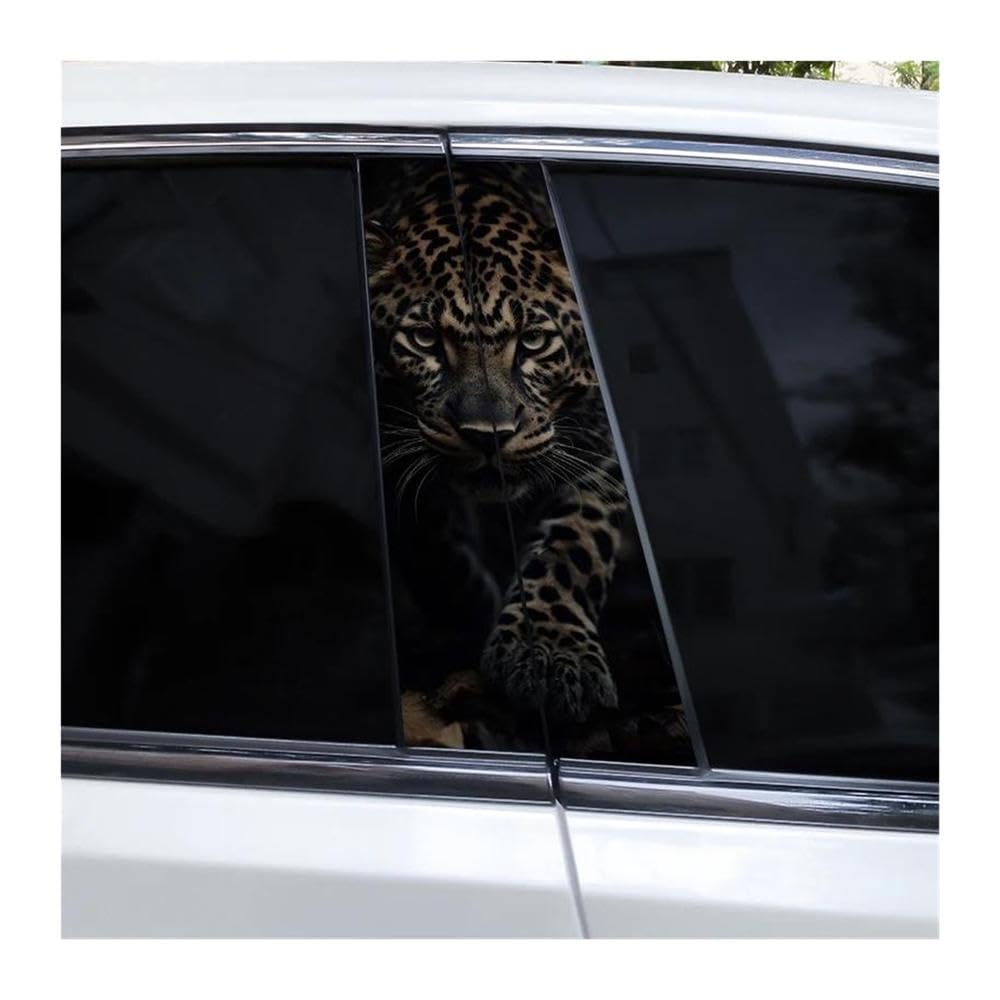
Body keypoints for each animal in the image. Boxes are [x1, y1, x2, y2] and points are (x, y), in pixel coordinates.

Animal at [364, 160, 627, 727]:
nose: (489, 436)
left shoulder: (598, 450)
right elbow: (432, 541)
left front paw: (552, 654)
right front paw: (477, 609)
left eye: (533, 342)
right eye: (424, 339)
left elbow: (574, 545)